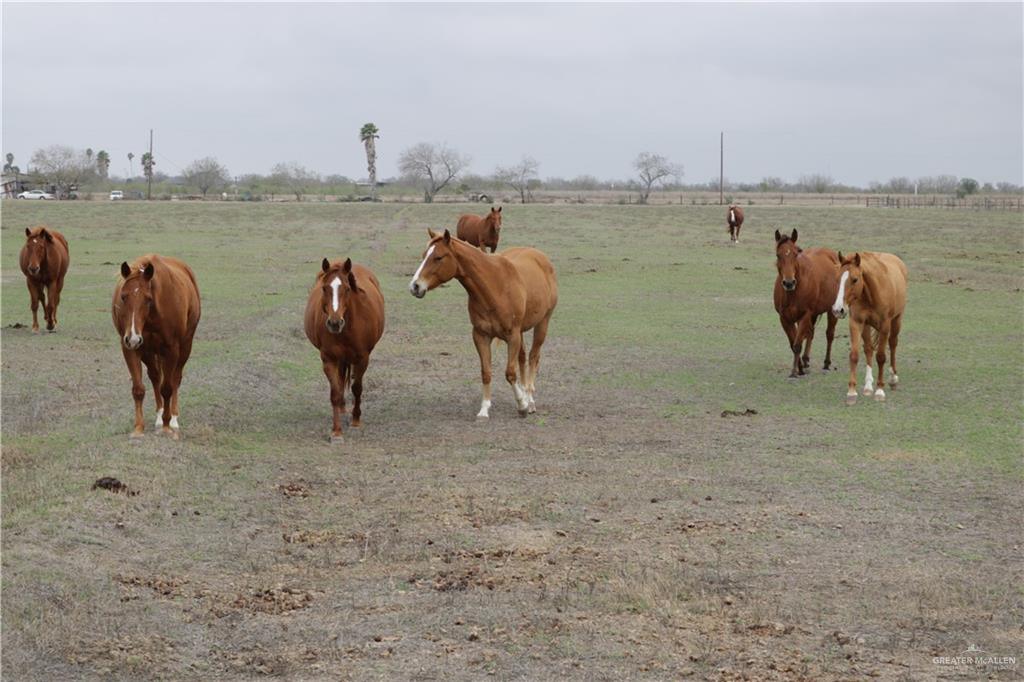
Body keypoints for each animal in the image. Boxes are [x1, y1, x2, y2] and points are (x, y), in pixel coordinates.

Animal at [111, 251, 200, 438]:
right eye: (123, 296)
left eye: (148, 299)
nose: (133, 337)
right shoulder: (131, 348)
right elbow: (139, 389)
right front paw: (138, 428)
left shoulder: (171, 349)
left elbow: (167, 388)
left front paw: (167, 426)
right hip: (148, 352)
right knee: (155, 377)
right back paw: (159, 416)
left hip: (184, 347)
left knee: (175, 378)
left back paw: (173, 418)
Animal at [305, 256, 385, 440]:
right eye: (324, 288)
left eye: (347, 289)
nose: (334, 323)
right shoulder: (329, 360)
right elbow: (335, 393)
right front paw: (336, 431)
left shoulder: (362, 359)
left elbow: (357, 388)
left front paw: (356, 421)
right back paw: (341, 409)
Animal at [405, 228, 557, 417]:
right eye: (424, 255)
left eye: (438, 257)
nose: (415, 286)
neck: (495, 287)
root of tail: (540, 257)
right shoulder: (481, 335)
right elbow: (486, 372)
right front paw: (484, 409)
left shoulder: (512, 336)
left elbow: (510, 373)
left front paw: (522, 404)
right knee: (522, 358)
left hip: (543, 323)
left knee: (533, 357)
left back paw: (529, 400)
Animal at [774, 228, 839, 376]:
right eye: (778, 255)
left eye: (796, 253)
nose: (789, 283)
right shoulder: (785, 318)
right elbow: (793, 343)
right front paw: (800, 368)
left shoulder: (805, 315)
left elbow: (797, 344)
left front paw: (795, 371)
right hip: (813, 315)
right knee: (810, 333)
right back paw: (806, 360)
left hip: (831, 310)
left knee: (829, 334)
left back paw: (826, 363)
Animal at [835, 250, 909, 401]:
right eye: (837, 278)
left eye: (855, 279)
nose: (838, 310)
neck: (871, 294)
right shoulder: (856, 323)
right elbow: (854, 355)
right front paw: (852, 392)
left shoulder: (885, 325)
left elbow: (881, 357)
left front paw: (880, 390)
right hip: (866, 326)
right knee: (868, 349)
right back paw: (868, 386)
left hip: (896, 320)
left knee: (893, 344)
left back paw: (893, 378)